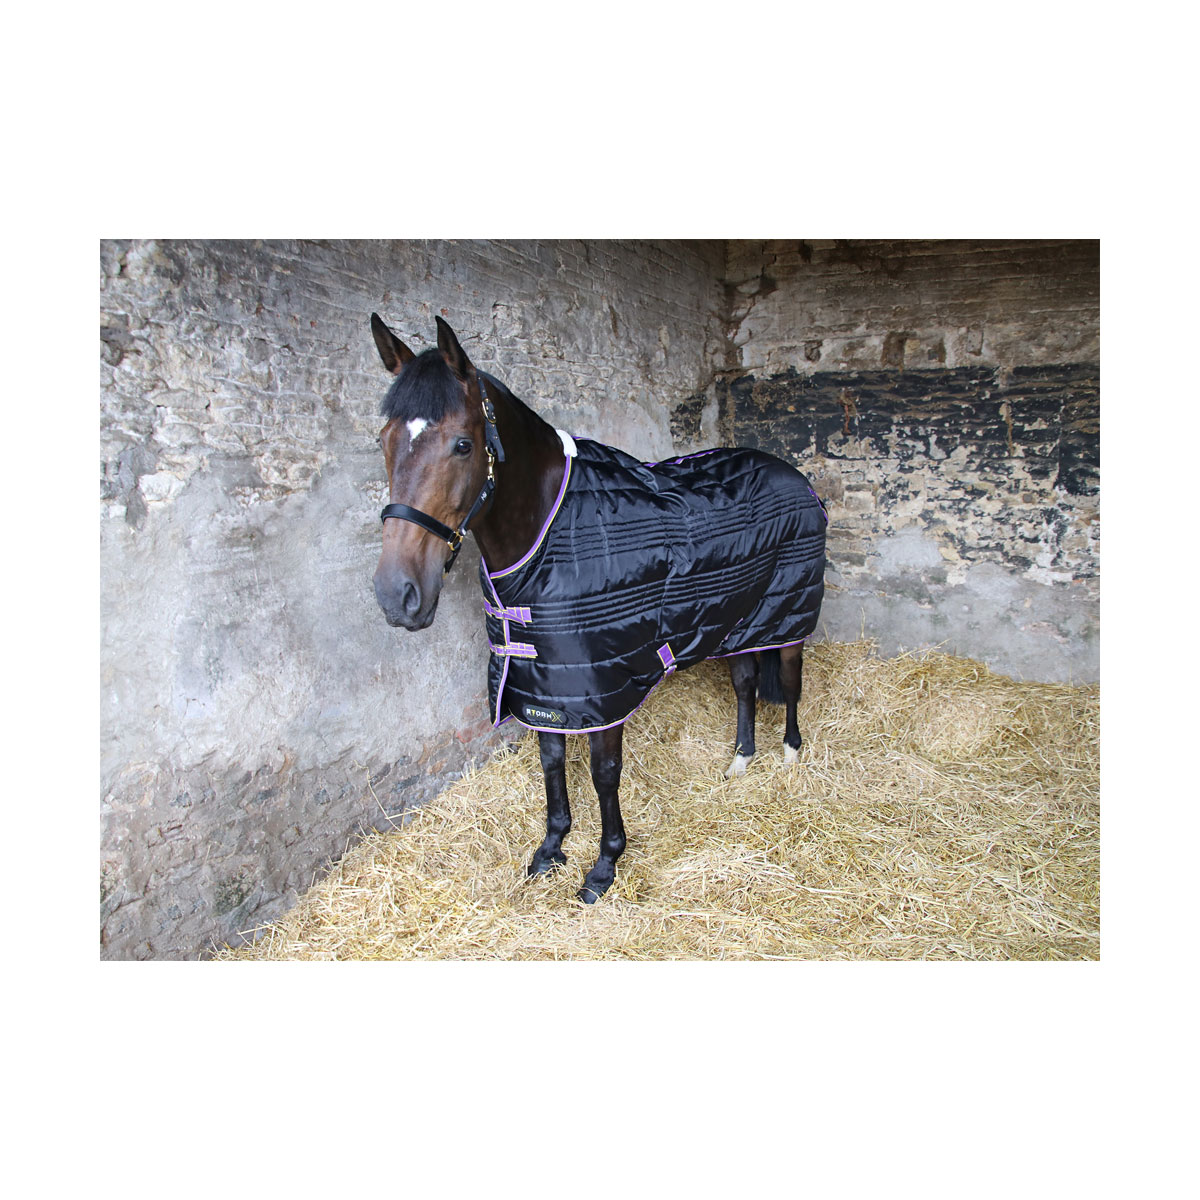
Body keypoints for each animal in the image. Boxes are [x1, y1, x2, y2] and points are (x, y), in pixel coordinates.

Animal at [370, 313, 826, 903]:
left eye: (463, 445)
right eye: (383, 440)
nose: (396, 595)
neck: (549, 530)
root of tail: (796, 477)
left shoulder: (605, 689)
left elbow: (604, 773)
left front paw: (604, 866)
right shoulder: (546, 685)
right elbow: (552, 764)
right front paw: (551, 847)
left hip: (788, 617)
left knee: (789, 682)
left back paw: (790, 754)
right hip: (737, 623)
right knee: (746, 683)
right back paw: (740, 760)